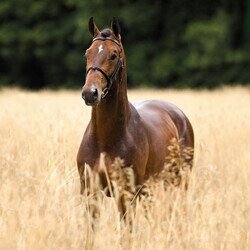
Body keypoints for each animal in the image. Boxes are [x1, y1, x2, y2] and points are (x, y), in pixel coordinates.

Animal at [77, 17, 194, 197]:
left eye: (113, 55)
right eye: (87, 53)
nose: (90, 93)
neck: (104, 140)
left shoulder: (127, 193)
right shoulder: (90, 193)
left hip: (178, 182)